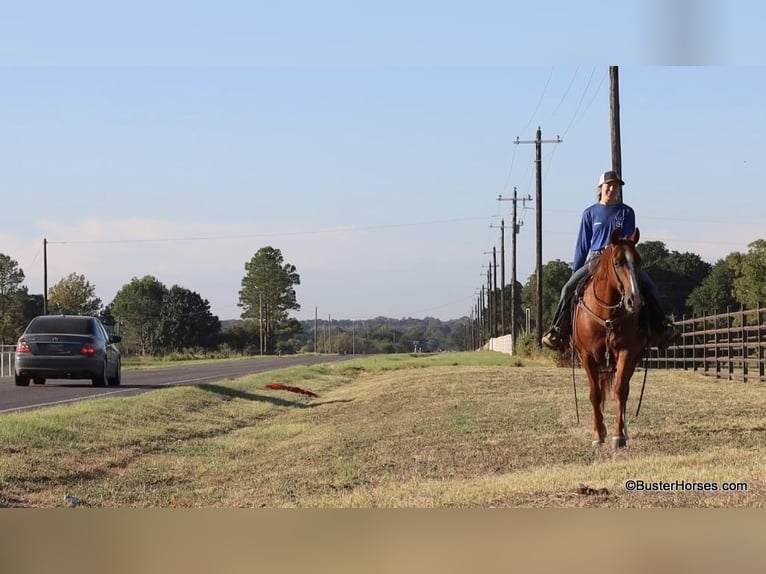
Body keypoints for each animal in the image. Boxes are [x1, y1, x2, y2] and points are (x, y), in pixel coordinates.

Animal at [572, 228, 652, 450]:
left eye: (638, 260)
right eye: (617, 262)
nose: (635, 300)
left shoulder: (626, 352)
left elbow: (620, 391)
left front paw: (619, 435)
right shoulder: (587, 357)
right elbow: (595, 394)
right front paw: (598, 435)